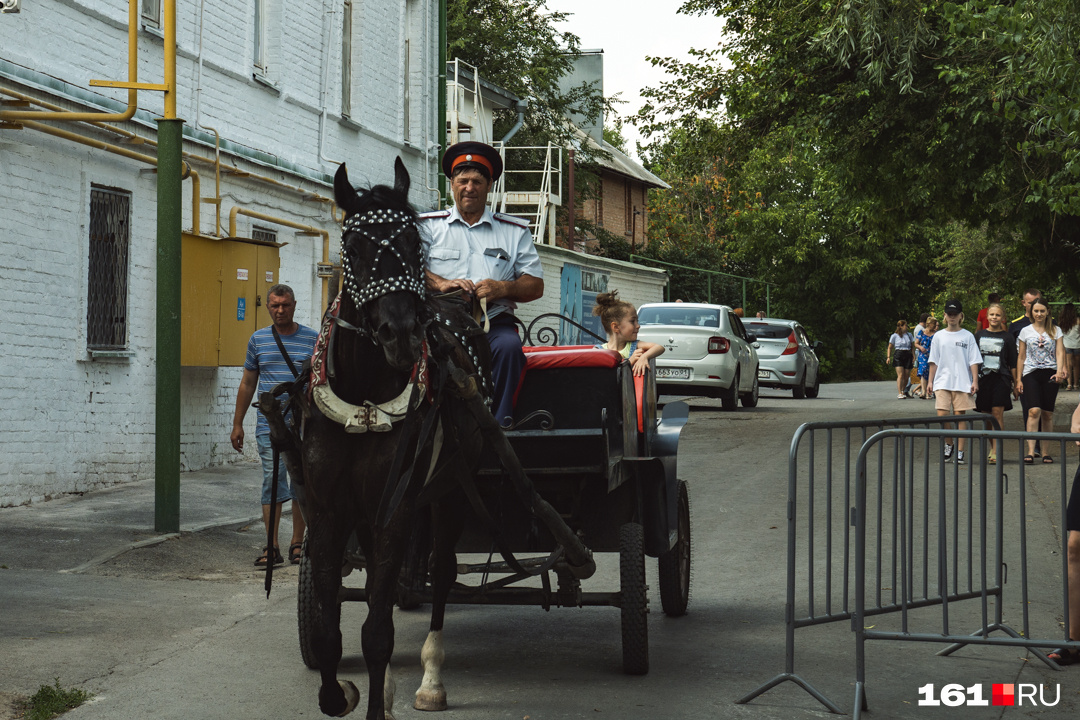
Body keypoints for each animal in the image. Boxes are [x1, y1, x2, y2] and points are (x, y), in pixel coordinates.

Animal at [298, 160, 488, 716]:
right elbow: (329, 633)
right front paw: (341, 693)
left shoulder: (395, 509)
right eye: (354, 247)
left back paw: (431, 677)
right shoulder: (329, 510)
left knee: (442, 571)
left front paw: (377, 698)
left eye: (411, 242)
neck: (363, 398)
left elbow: (377, 633)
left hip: (449, 493)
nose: (401, 334)